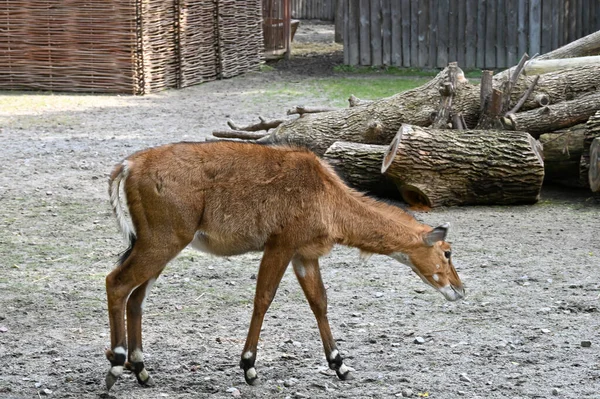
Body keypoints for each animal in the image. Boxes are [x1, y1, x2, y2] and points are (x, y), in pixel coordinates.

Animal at [105, 141, 466, 390]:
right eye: (448, 252)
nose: (459, 290)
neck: (329, 198)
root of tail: (126, 166)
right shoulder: (281, 245)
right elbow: (263, 299)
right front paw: (249, 366)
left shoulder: (304, 255)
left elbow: (319, 302)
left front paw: (339, 364)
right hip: (162, 241)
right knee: (116, 283)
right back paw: (117, 363)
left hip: (157, 246)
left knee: (136, 298)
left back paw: (141, 370)